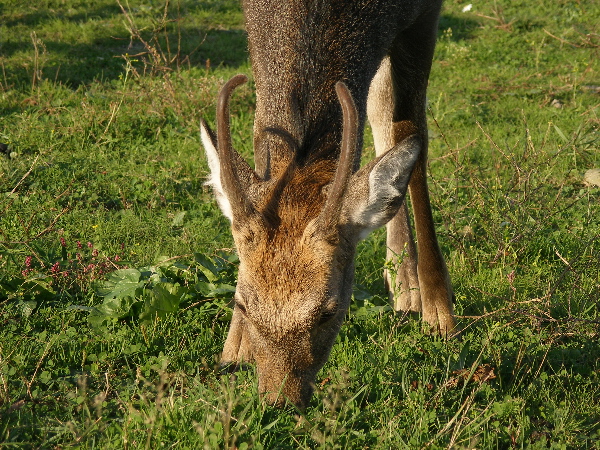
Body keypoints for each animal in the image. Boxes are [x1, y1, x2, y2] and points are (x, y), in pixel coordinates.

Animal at [200, 0, 454, 408]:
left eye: (328, 312)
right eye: (242, 304)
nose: (280, 400)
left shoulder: (424, 16)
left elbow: (413, 134)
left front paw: (441, 314)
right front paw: (234, 348)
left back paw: (413, 290)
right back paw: (402, 283)